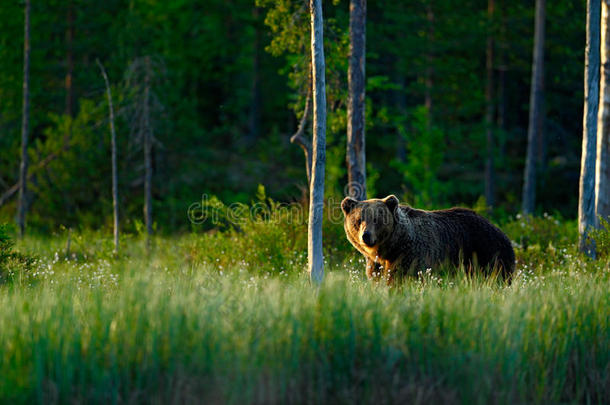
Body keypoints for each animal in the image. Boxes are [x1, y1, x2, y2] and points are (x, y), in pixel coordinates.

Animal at [342, 194, 512, 282]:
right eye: (358, 220)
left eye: (376, 219)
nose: (366, 236)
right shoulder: (375, 264)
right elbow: (377, 278)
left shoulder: (411, 256)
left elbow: (399, 279)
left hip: (487, 254)